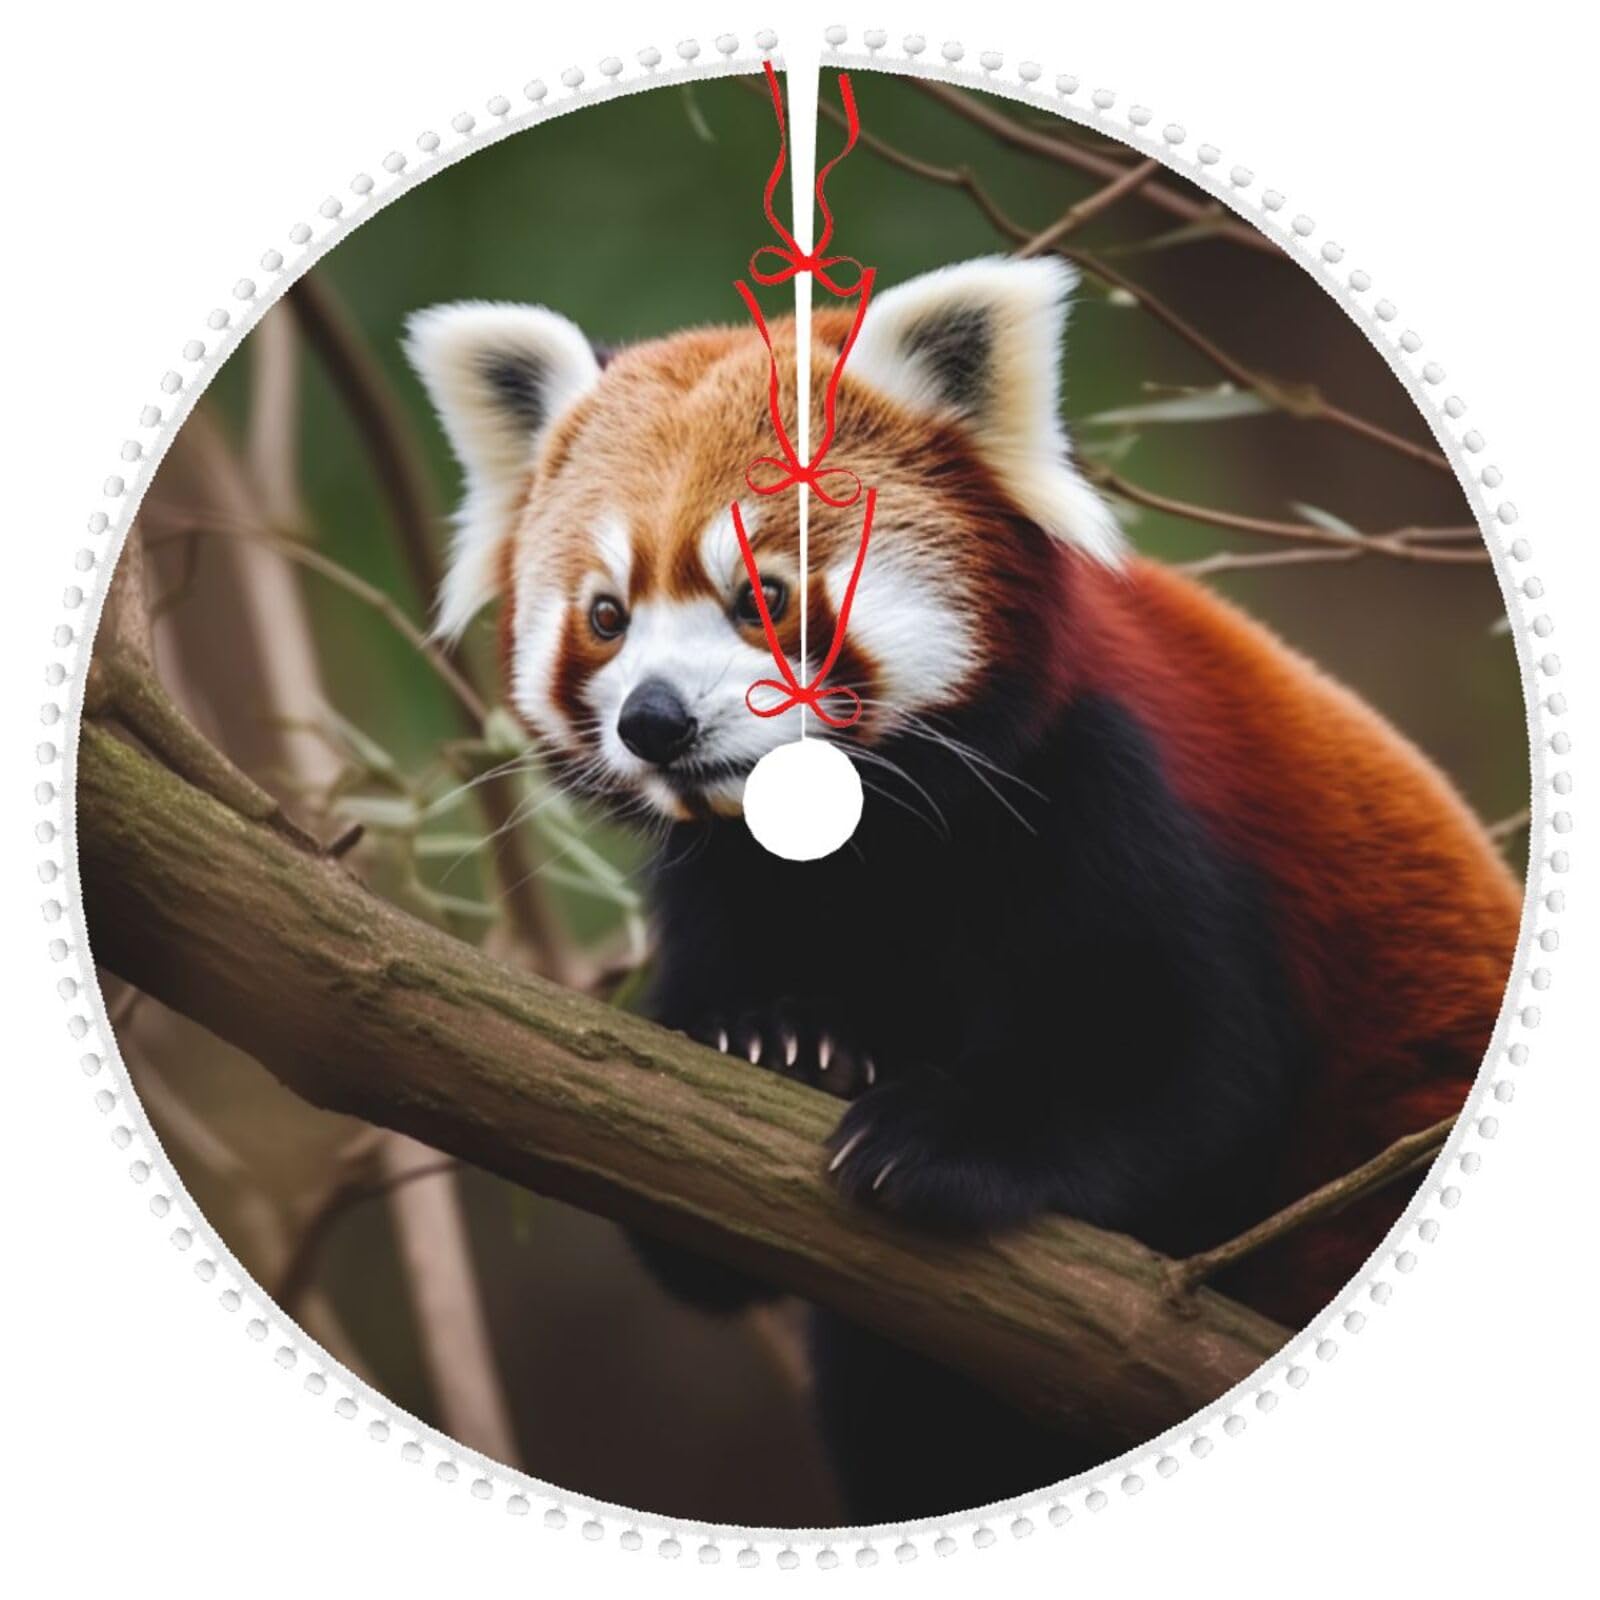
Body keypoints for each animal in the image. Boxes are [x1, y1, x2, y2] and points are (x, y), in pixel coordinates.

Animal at [405, 255, 1521, 1521]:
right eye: (605, 615)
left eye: (762, 597)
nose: (654, 721)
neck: (879, 843)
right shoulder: (723, 880)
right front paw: (778, 1039)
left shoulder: (1116, 787)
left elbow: (1192, 1065)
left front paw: (940, 1134)